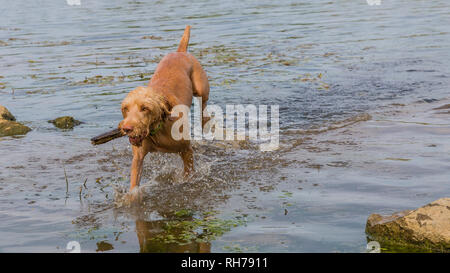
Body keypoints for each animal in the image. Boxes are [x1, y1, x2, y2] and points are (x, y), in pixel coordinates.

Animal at [119, 26, 211, 190]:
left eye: (145, 108)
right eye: (125, 109)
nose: (127, 128)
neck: (157, 128)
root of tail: (180, 52)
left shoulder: (186, 150)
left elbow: (188, 173)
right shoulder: (138, 157)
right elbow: (134, 186)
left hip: (201, 89)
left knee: (204, 111)